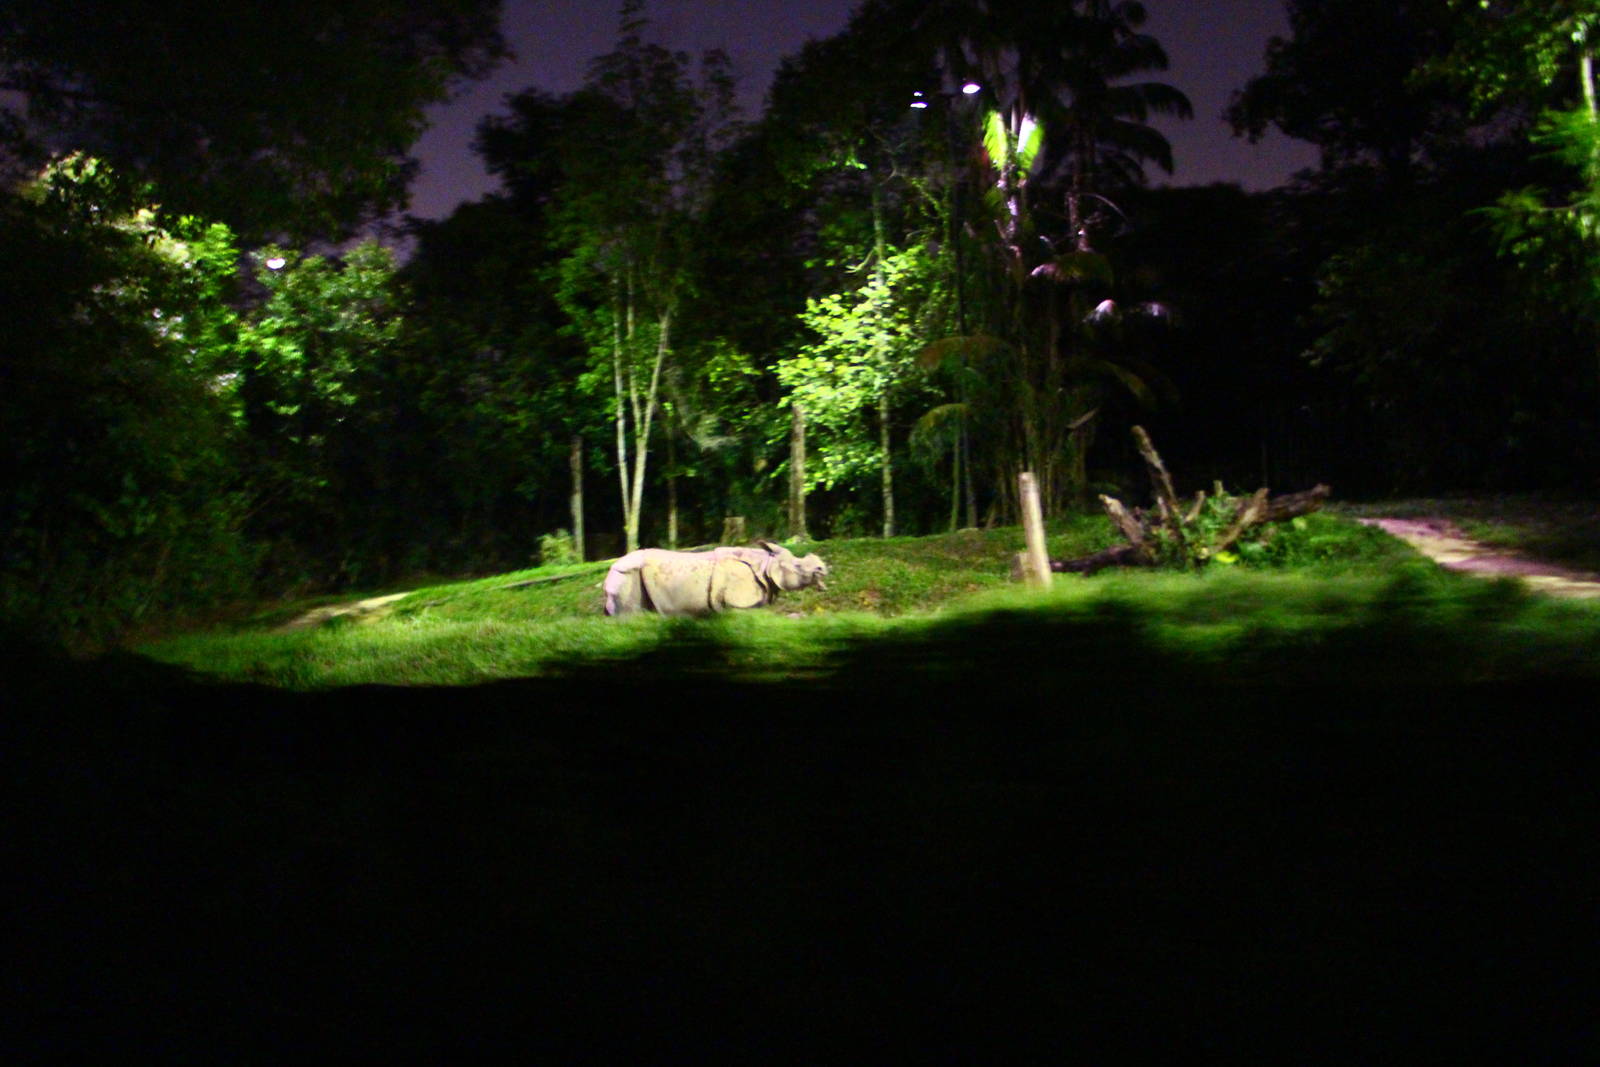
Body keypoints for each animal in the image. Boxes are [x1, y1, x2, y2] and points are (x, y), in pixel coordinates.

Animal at [603, 540, 829, 617]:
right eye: (798, 566)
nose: (823, 568)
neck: (766, 564)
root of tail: (611, 567)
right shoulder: (738, 601)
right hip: (625, 573)